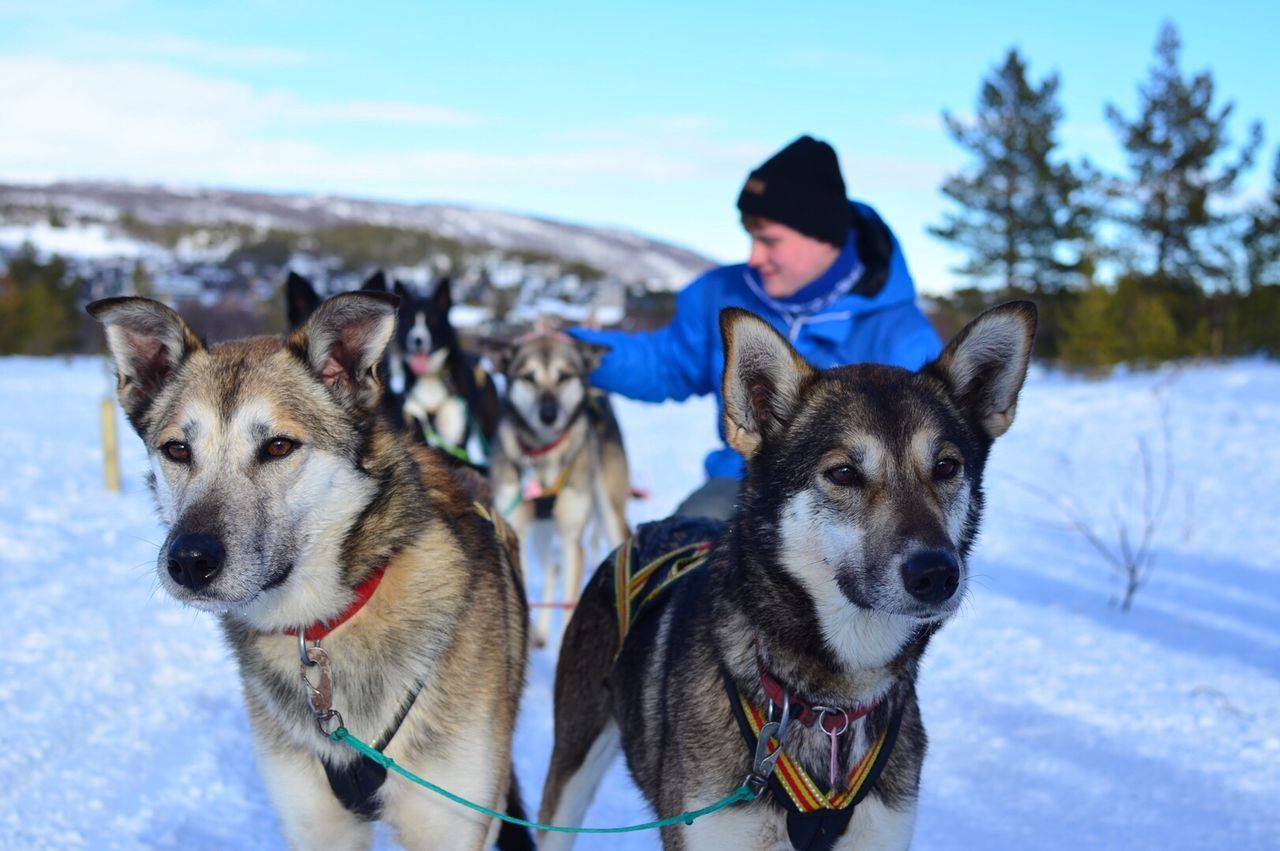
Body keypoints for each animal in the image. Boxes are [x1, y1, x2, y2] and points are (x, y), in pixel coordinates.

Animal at [91, 294, 529, 849]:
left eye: (278, 446)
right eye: (177, 450)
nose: (189, 560)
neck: (327, 624)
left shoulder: (448, 825)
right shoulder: (316, 825)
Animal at [488, 330, 629, 644]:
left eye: (563, 376)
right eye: (528, 377)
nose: (549, 414)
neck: (543, 457)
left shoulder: (571, 539)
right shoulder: (518, 530)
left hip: (610, 512)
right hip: (541, 531)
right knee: (551, 567)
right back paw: (541, 630)